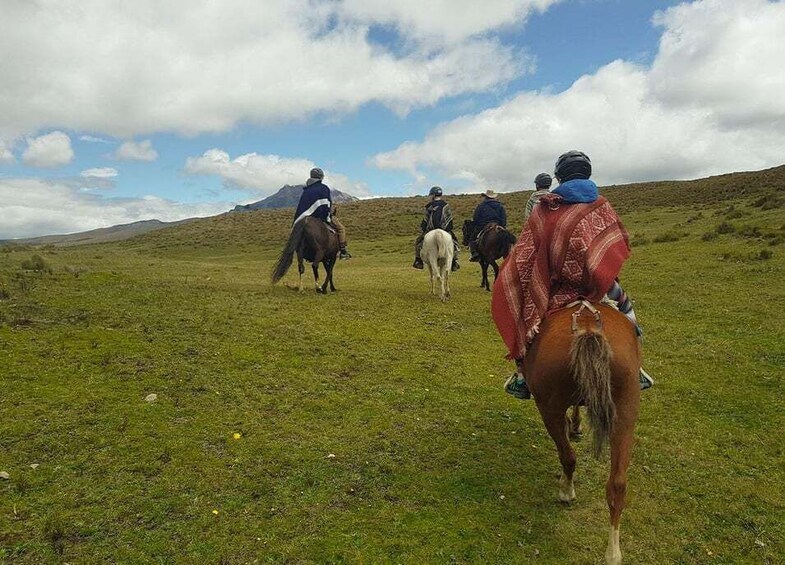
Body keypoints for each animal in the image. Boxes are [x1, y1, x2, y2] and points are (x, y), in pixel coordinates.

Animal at [520, 302, 644, 560]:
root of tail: (588, 328)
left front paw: (574, 426)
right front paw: (576, 425)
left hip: (548, 407)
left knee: (567, 456)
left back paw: (566, 492)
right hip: (626, 408)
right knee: (618, 484)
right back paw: (613, 554)